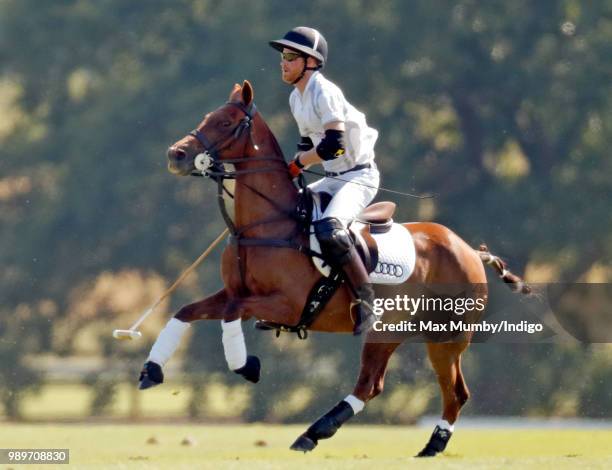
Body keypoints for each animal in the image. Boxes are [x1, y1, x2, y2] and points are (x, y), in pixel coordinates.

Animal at [159, 80, 532, 456]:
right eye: (207, 117)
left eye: (225, 122)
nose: (176, 155)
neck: (266, 224)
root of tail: (469, 251)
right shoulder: (236, 292)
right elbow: (188, 310)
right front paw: (151, 370)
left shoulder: (287, 304)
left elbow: (231, 313)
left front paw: (246, 365)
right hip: (412, 332)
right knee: (414, 387)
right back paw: (415, 445)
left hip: (437, 334)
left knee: (412, 388)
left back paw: (327, 434)